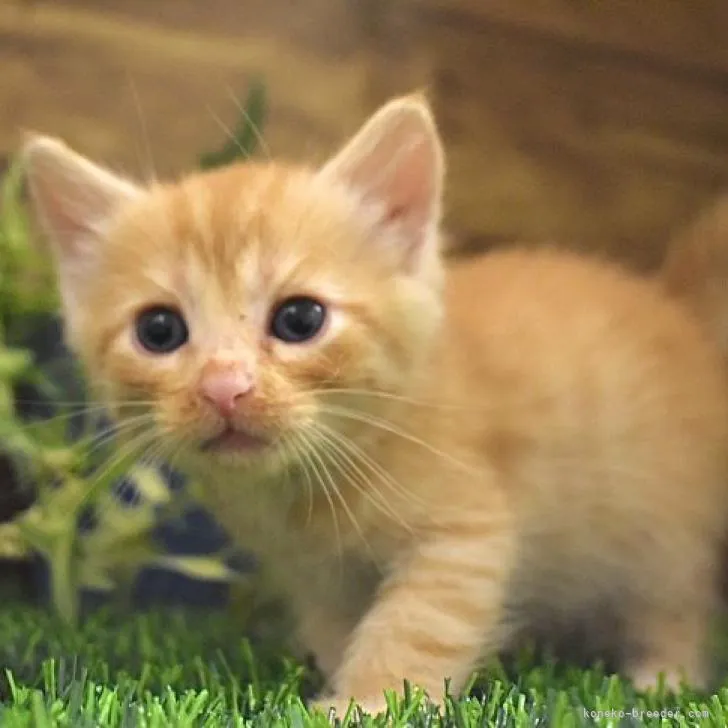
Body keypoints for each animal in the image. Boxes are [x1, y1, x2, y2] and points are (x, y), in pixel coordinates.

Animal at [19, 94, 728, 712]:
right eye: (159, 331)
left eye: (300, 319)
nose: (224, 385)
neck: (308, 493)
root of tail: (677, 310)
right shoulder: (313, 572)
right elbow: (336, 625)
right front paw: (338, 678)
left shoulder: (464, 532)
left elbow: (417, 624)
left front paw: (369, 701)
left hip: (664, 529)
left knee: (676, 600)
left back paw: (662, 675)